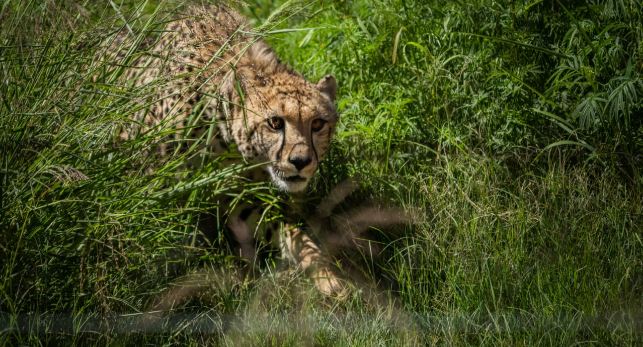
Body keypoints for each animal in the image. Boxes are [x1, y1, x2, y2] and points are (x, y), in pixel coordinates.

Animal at [104, 4, 348, 296]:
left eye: (318, 124)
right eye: (275, 123)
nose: (300, 161)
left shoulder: (239, 196)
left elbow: (291, 234)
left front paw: (326, 276)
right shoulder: (158, 183)